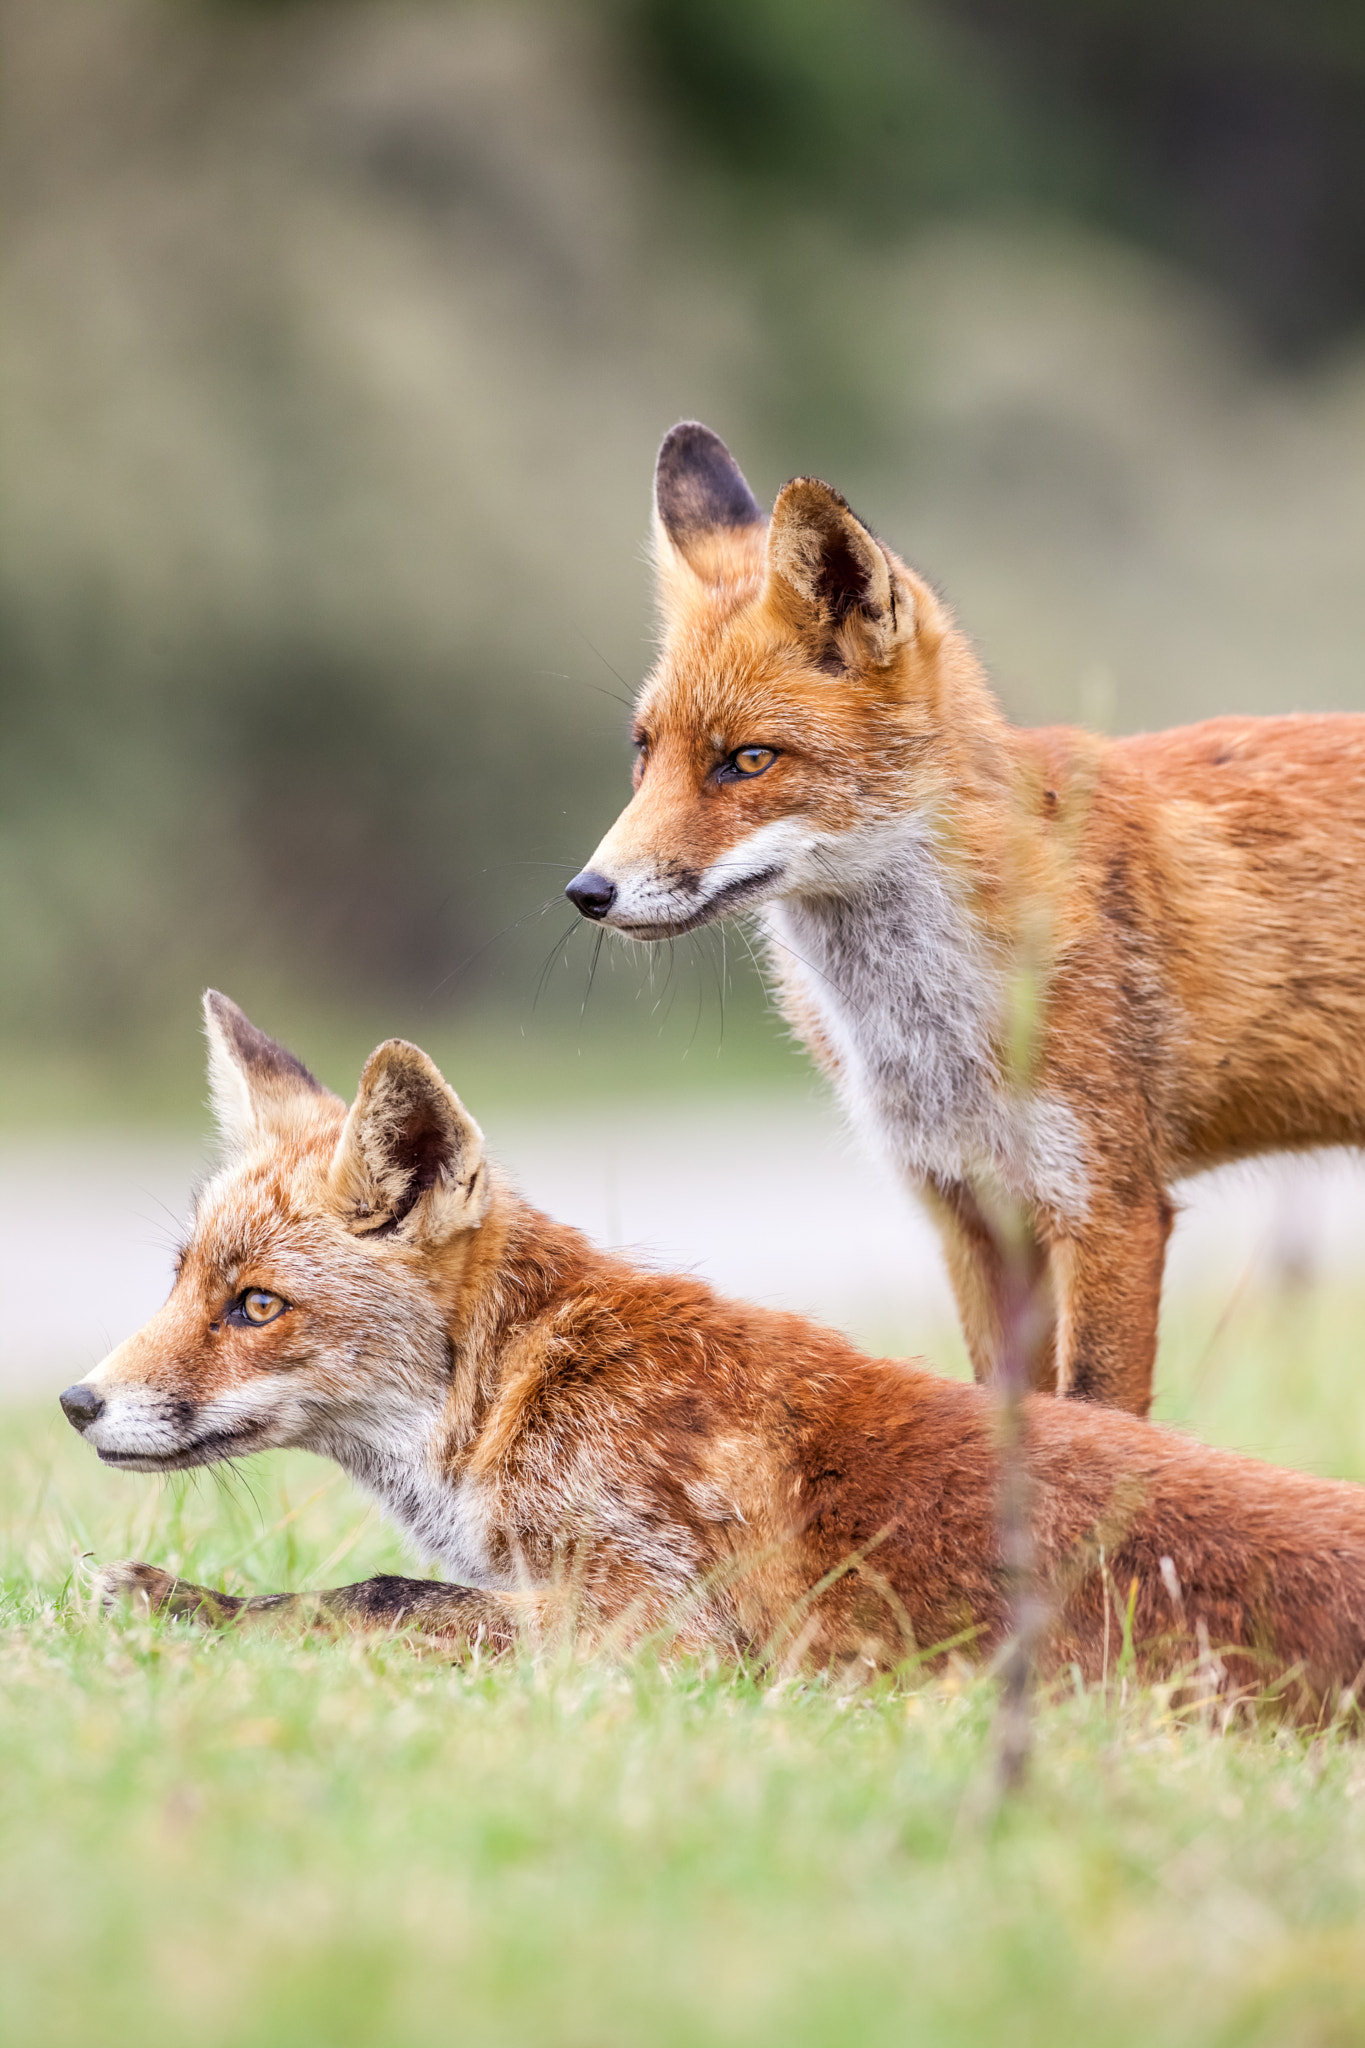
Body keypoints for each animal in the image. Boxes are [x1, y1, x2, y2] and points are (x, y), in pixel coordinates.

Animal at [58, 999, 1365, 1703]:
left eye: (256, 1306)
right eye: (182, 1279)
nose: (77, 1401)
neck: (528, 1386)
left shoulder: (662, 1625)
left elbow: (379, 1593)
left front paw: (180, 1603)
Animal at [564, 423, 1365, 1417]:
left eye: (747, 760)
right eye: (644, 753)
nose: (588, 892)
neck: (926, 1020)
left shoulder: (1108, 1206)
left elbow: (1097, 1414)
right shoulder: (969, 1210)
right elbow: (1007, 1419)